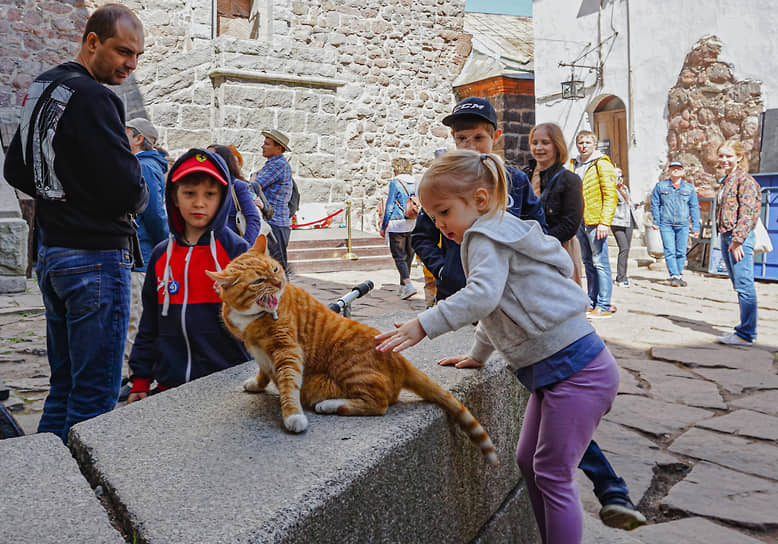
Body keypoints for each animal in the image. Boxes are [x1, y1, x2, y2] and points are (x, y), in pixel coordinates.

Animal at [206, 236, 498, 466]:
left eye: (276, 268)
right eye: (258, 281)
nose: (278, 283)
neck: (250, 318)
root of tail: (399, 359)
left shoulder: (287, 350)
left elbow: (288, 384)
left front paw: (292, 416)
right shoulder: (260, 352)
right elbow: (263, 370)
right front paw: (257, 384)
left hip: (349, 370)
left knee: (378, 404)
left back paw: (330, 405)